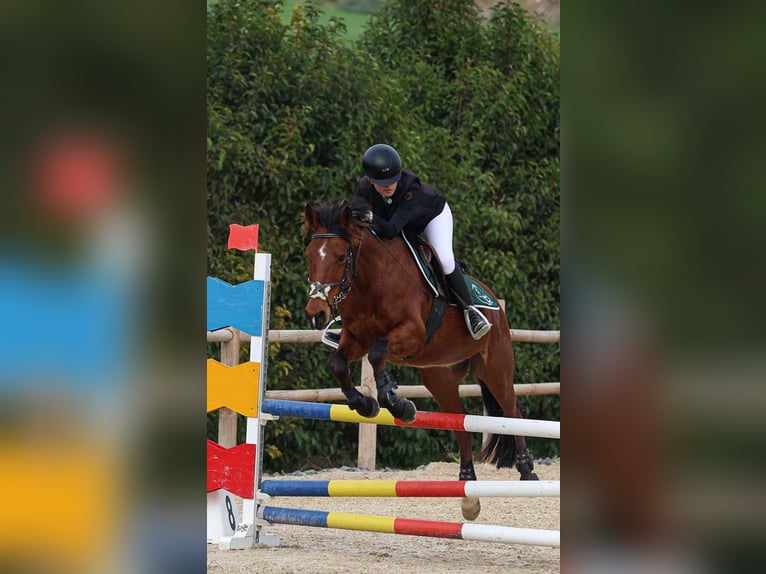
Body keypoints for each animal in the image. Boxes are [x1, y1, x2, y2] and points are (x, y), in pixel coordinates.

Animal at [302, 198, 538, 520]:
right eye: (309, 256)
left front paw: (395, 400)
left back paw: (527, 471)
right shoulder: (355, 338)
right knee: (460, 424)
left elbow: (378, 352)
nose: (316, 314)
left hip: (495, 367)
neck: (370, 282)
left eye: (340, 257)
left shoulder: (412, 333)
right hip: (440, 377)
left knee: (512, 410)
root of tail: (494, 302)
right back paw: (467, 491)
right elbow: (339, 364)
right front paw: (366, 404)